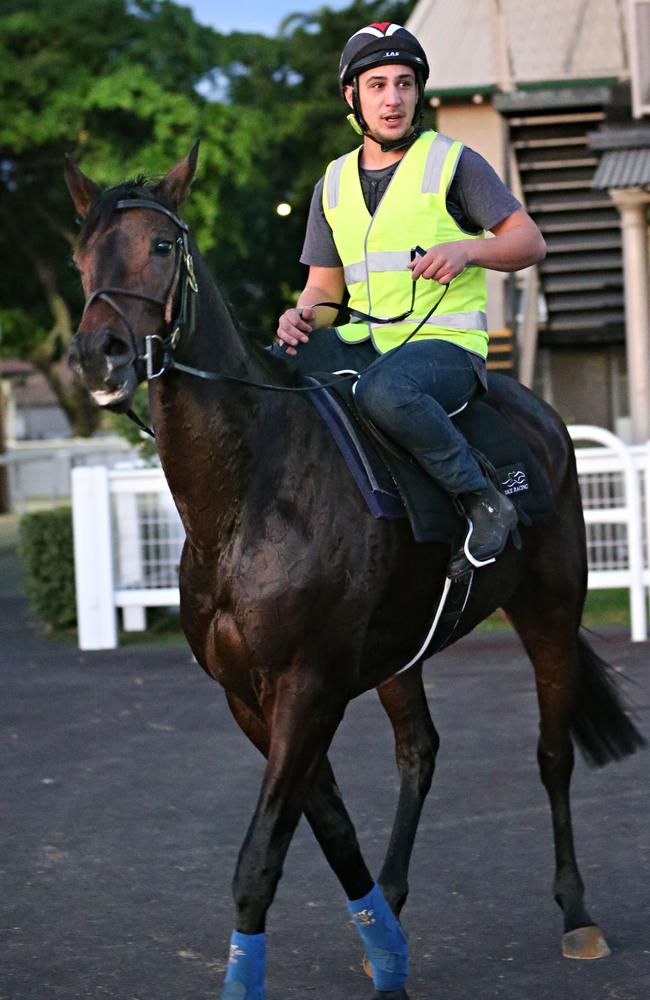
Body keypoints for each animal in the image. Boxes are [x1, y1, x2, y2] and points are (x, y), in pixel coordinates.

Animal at [64, 143, 644, 1000]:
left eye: (162, 247)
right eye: (81, 258)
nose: (98, 353)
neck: (248, 496)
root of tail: (534, 411)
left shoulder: (307, 687)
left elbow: (260, 860)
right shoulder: (254, 699)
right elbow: (333, 832)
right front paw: (388, 952)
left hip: (551, 607)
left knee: (552, 754)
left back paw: (577, 914)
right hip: (400, 651)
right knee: (420, 752)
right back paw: (397, 901)